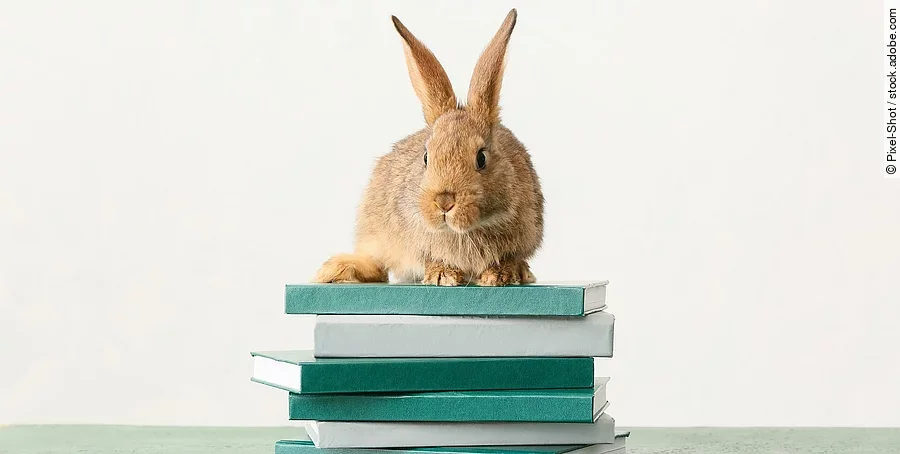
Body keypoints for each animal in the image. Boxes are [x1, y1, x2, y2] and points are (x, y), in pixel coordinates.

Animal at [314, 9, 544, 286]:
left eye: (481, 158)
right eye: (426, 157)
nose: (444, 202)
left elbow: (510, 258)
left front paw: (501, 275)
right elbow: (427, 259)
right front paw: (442, 275)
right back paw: (337, 269)